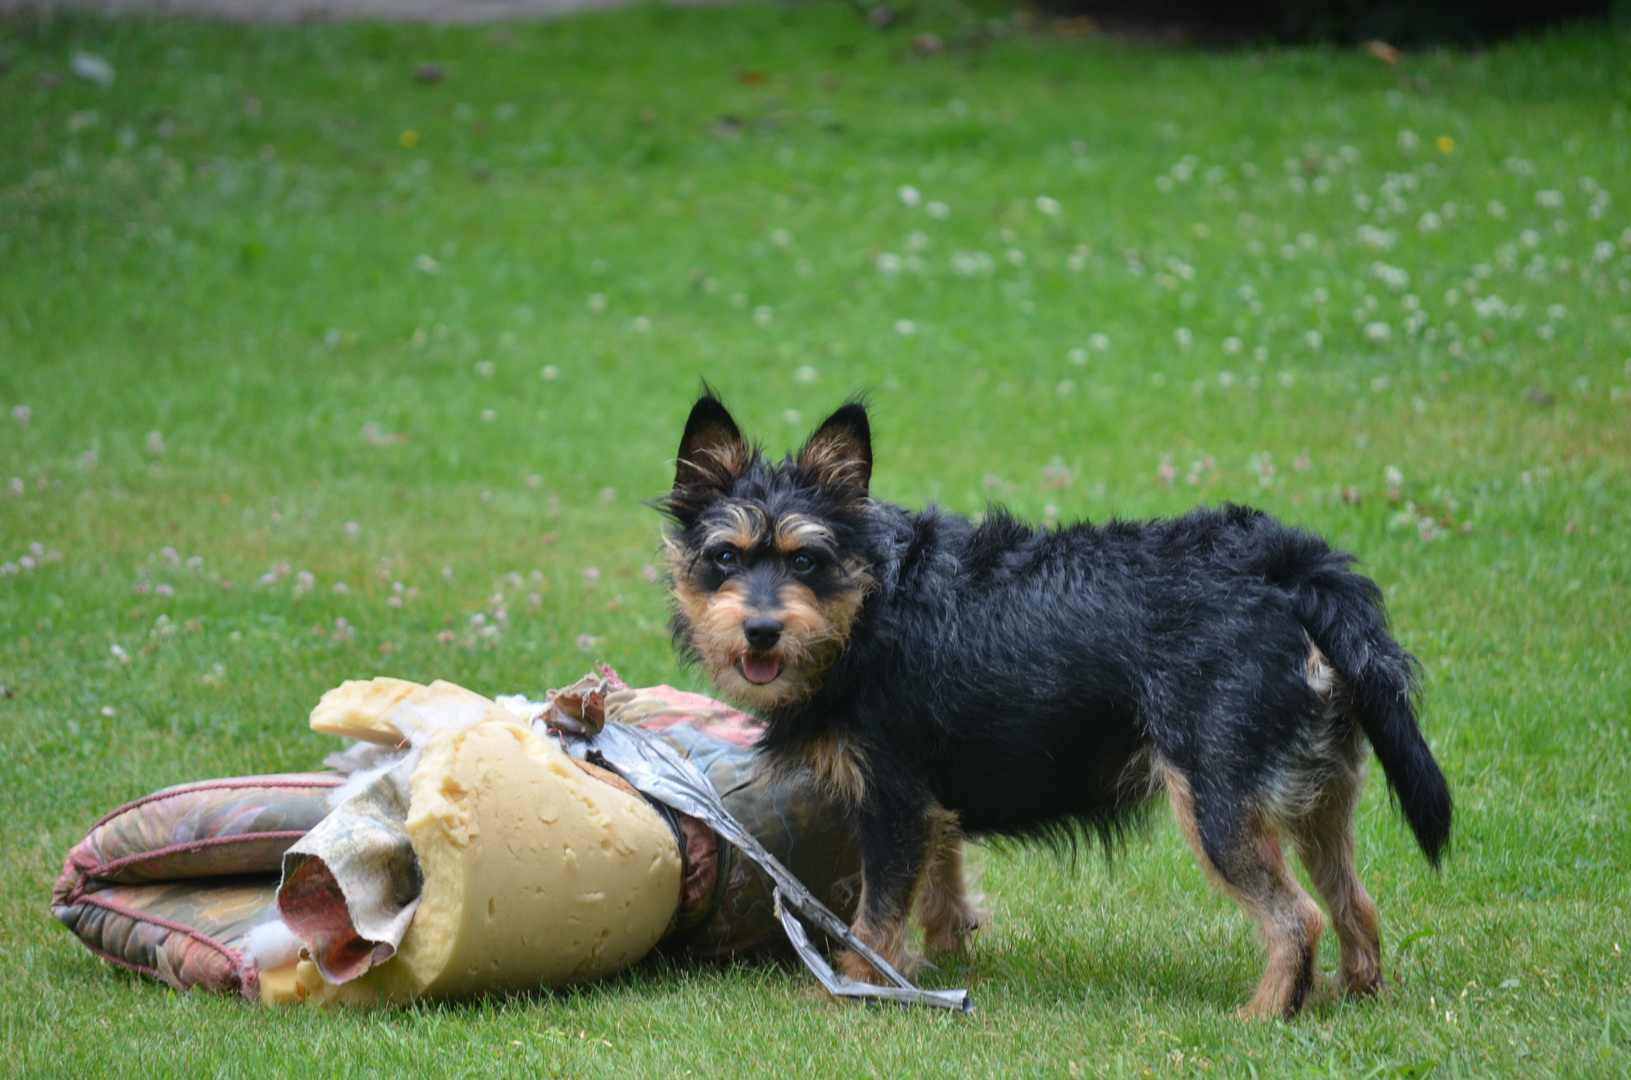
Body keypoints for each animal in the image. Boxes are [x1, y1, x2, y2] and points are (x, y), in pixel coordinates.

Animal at [658, 398, 1454, 1024]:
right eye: (726, 557)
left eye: (805, 560)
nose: (762, 631)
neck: (868, 606)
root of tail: (1289, 566)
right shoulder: (931, 807)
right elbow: (942, 892)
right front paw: (944, 968)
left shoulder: (892, 804)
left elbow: (874, 920)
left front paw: (855, 991)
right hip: (1320, 796)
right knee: (1353, 902)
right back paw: (1355, 995)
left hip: (1219, 805)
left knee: (1297, 918)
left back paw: (1264, 1014)